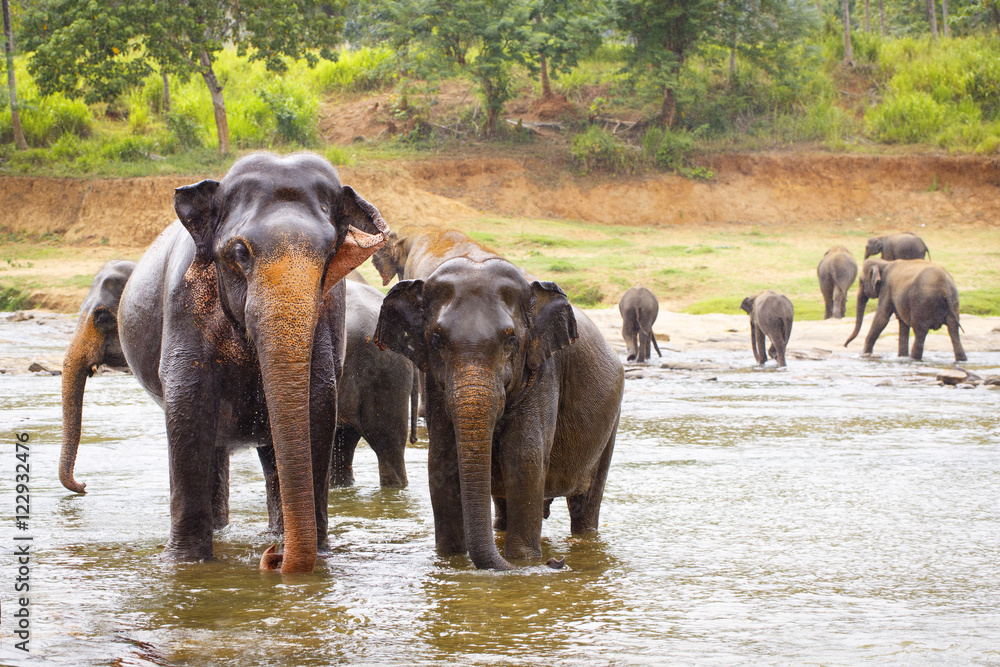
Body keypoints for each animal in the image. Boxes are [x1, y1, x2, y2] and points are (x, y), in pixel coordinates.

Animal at [118, 152, 389, 574]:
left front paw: (317, 555)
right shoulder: (183, 305)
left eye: (330, 254)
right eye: (240, 252)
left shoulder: (331, 308)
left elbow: (318, 402)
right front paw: (186, 566)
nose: (273, 559)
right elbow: (188, 405)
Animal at [374, 253, 624, 571]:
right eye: (436, 340)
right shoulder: (434, 383)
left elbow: (524, 457)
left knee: (587, 501)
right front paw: (450, 561)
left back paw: (583, 537)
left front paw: (524, 561)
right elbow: (442, 459)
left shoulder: (543, 372)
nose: (556, 562)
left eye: (511, 340)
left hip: (611, 421)